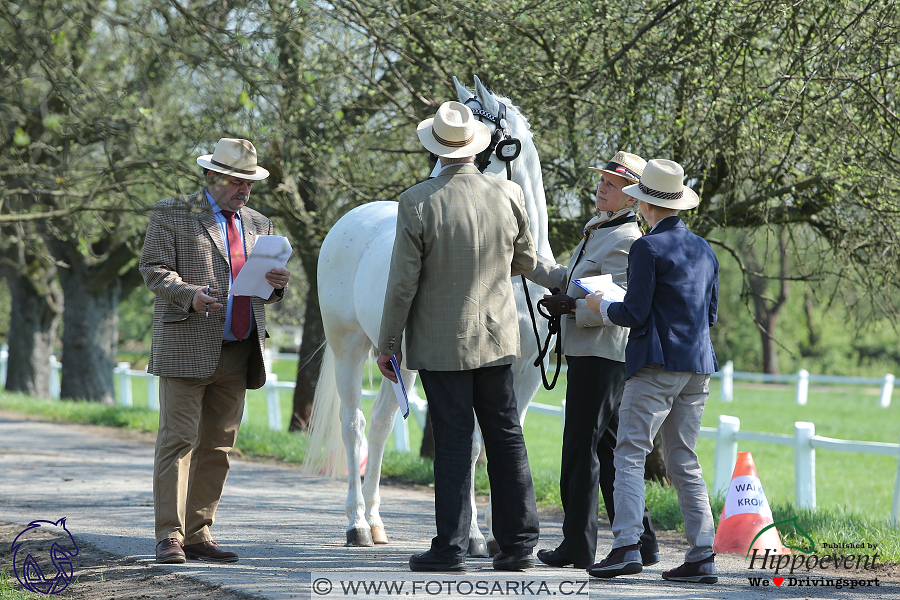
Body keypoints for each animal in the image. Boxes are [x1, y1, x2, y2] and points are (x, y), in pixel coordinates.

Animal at [306, 76, 552, 556]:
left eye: (482, 148)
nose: (420, 204)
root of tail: (350, 219)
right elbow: (470, 445)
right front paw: (474, 536)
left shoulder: (526, 376)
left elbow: (496, 443)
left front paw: (502, 538)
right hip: (349, 347)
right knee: (354, 426)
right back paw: (357, 525)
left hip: (398, 363)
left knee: (381, 426)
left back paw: (377, 523)